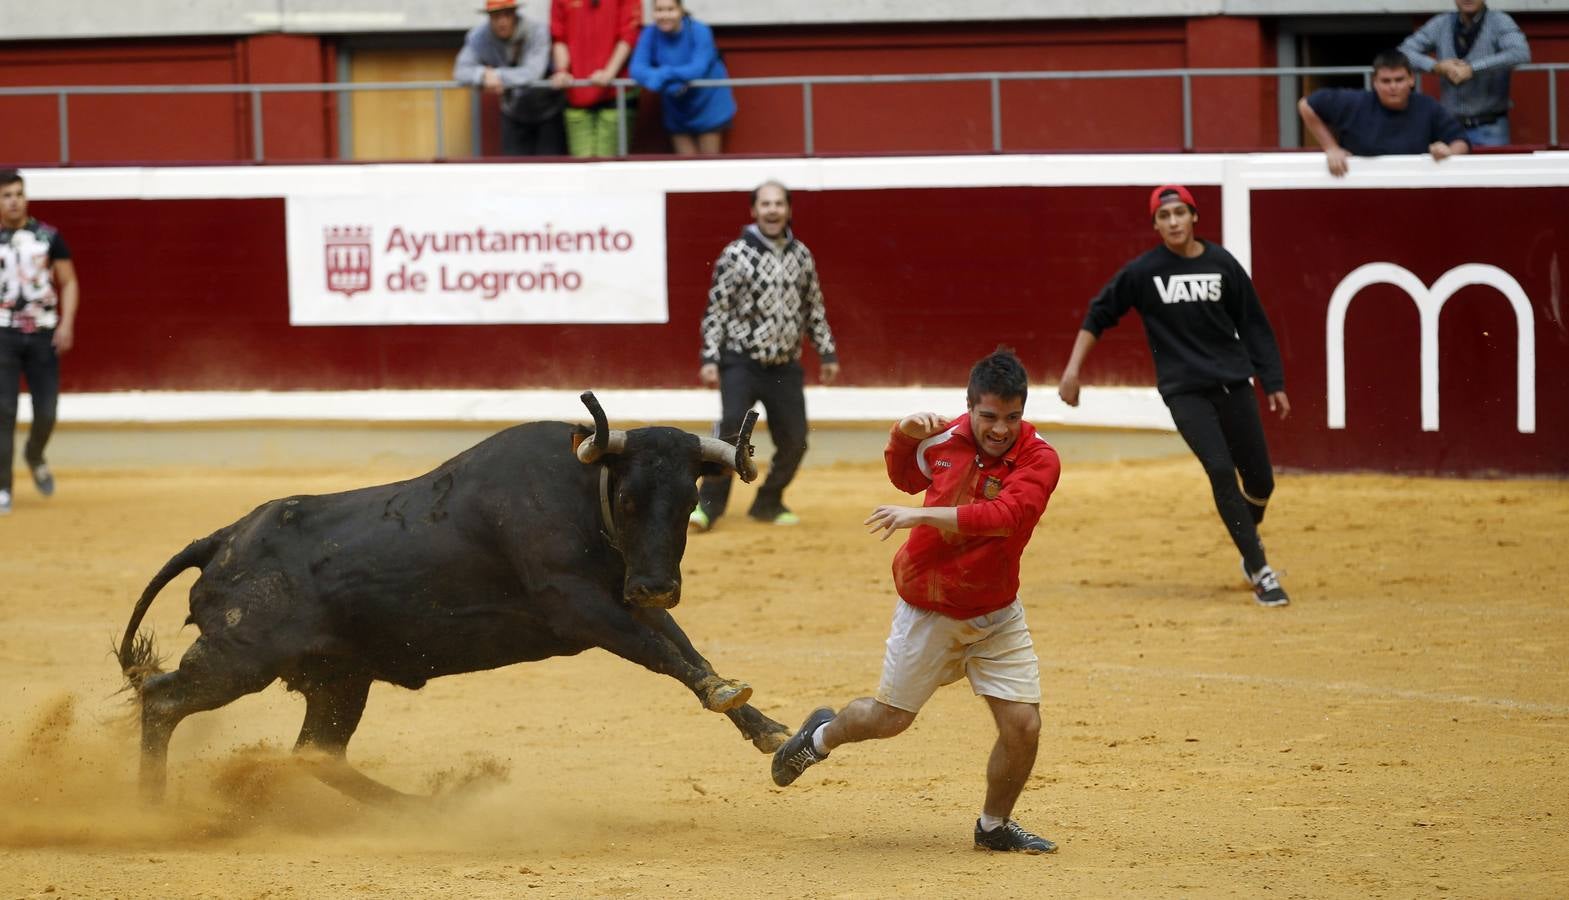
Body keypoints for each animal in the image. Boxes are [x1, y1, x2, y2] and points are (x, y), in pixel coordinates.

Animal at [116, 395, 790, 802]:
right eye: (627, 499)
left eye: (689, 500)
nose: (659, 585)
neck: (582, 491)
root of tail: (223, 538)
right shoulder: (579, 606)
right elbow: (666, 656)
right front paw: (730, 698)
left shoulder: (624, 602)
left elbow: (687, 651)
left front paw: (769, 731)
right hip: (239, 660)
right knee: (163, 699)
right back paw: (151, 804)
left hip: (339, 679)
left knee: (315, 754)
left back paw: (423, 808)